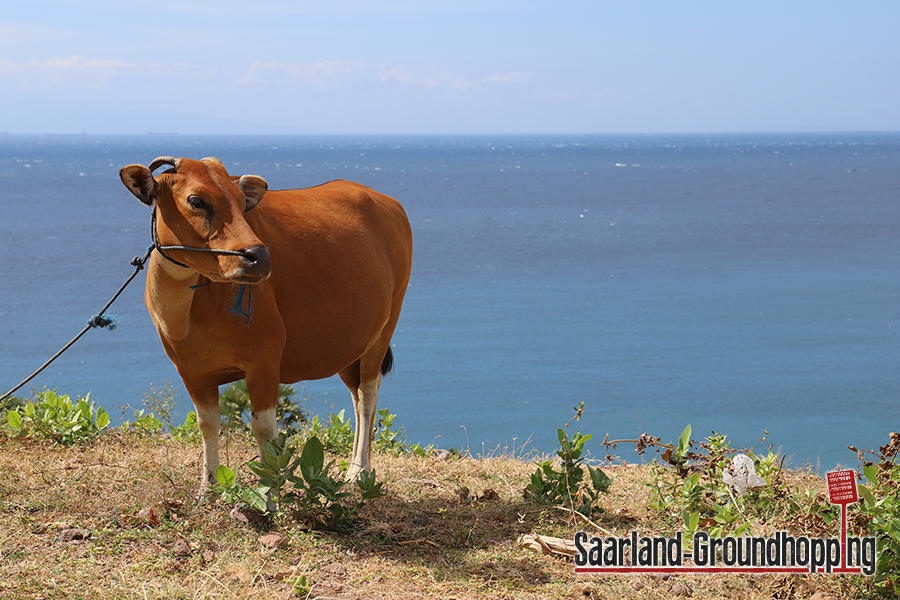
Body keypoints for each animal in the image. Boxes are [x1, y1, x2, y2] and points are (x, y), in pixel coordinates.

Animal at [119, 156, 414, 488]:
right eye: (196, 201)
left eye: (240, 201)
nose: (258, 257)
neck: (185, 315)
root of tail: (390, 204)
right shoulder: (192, 371)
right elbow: (207, 426)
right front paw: (208, 488)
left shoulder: (264, 357)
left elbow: (264, 430)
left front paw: (269, 490)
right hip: (351, 345)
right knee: (356, 393)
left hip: (385, 328)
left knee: (367, 394)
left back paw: (358, 470)